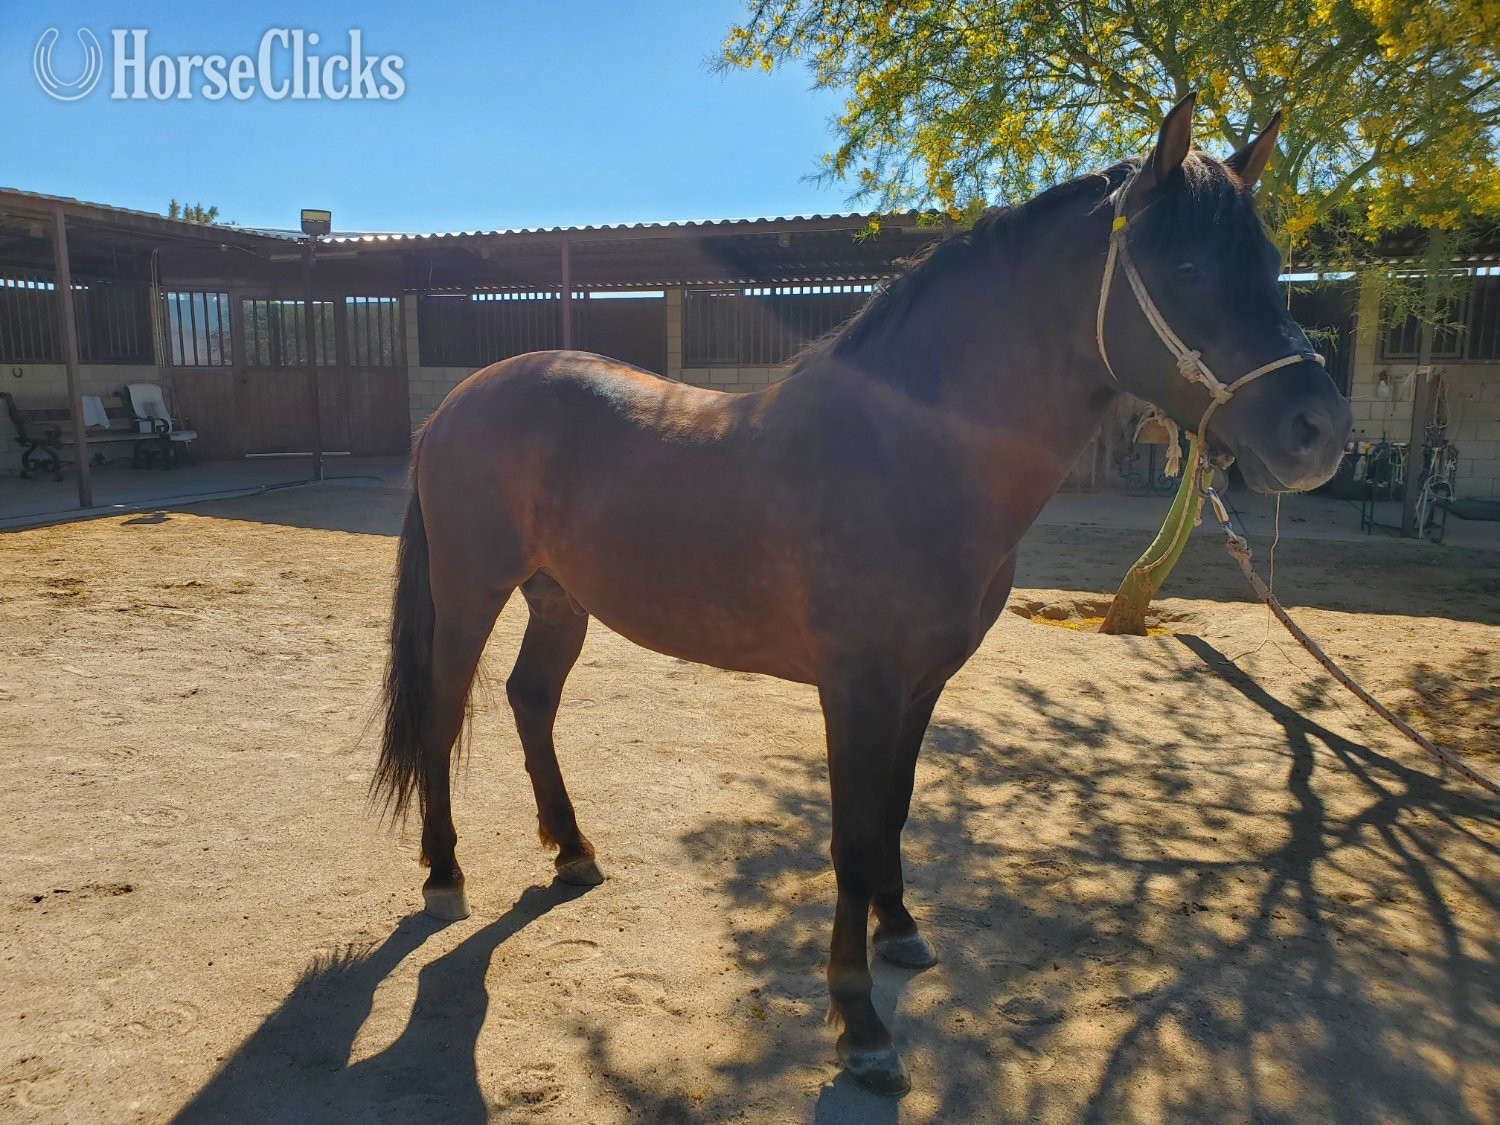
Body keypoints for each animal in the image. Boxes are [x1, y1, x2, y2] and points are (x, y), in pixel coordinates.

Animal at [374, 94, 1352, 1094]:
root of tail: (455, 406)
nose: (1319, 431)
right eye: (1187, 267)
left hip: (560, 599)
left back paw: (573, 851)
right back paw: (445, 875)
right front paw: (861, 1024)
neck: (907, 450)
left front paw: (903, 931)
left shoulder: (922, 683)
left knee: (530, 699)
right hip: (472, 593)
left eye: (1273, 268)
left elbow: (896, 808)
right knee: (444, 713)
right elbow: (849, 834)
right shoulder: (857, 687)